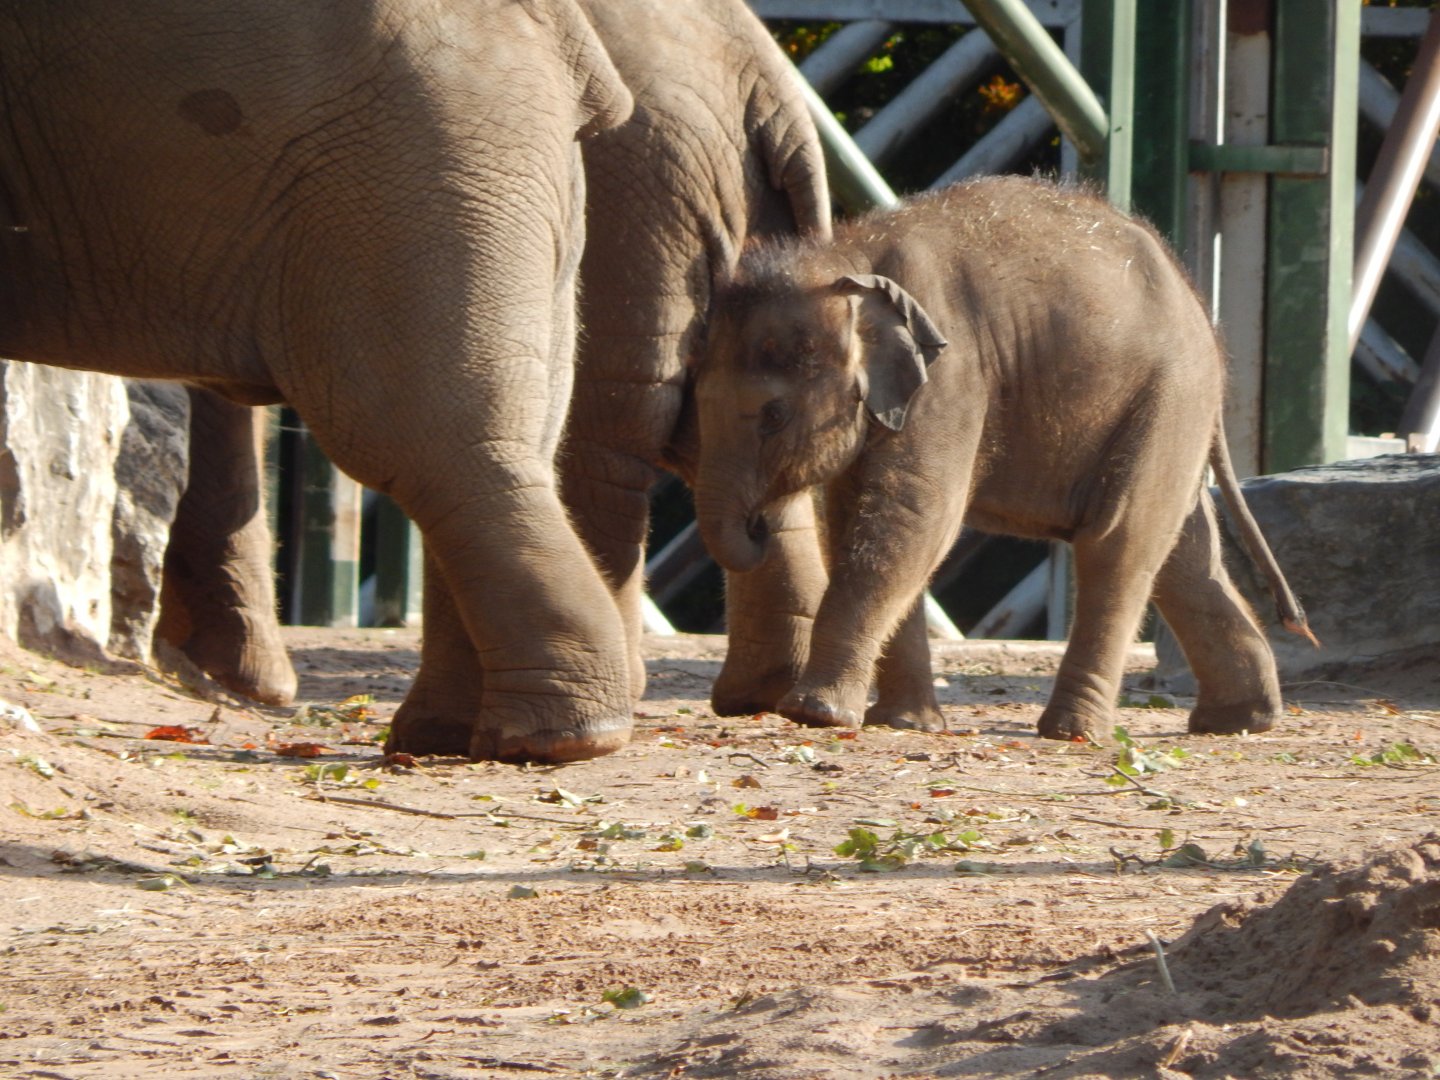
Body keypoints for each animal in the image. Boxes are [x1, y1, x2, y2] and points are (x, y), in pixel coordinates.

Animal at [690, 176, 1317, 743]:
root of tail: (1201, 311)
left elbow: (914, 517)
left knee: (1117, 541)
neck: (845, 260)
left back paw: (1073, 734)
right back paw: (1239, 721)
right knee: (1181, 554)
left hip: (1169, 394)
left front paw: (815, 715)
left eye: (773, 415)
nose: (758, 525)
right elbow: (856, 523)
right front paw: (903, 724)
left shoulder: (953, 375)